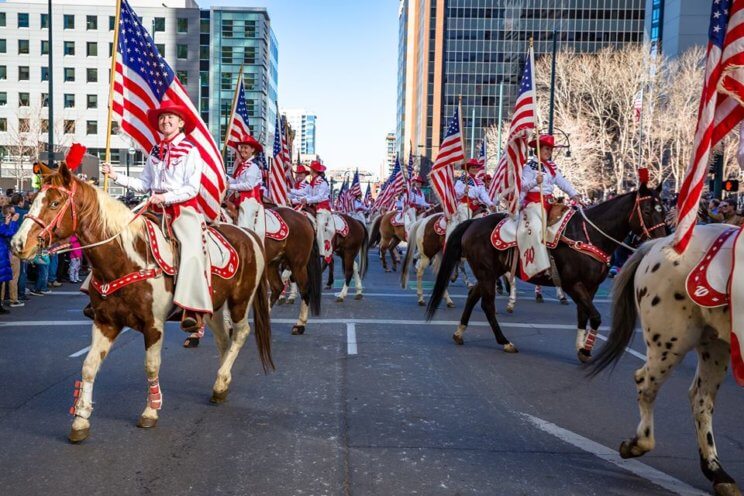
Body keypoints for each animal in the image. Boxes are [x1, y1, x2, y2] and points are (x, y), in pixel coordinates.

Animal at [10, 162, 274, 442]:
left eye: (55, 203)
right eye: (34, 200)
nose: (17, 244)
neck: (126, 259)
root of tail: (248, 233)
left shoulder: (153, 325)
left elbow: (151, 366)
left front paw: (150, 411)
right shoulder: (105, 322)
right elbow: (89, 366)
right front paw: (80, 420)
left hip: (239, 301)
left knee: (241, 333)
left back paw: (222, 376)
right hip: (210, 306)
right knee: (224, 339)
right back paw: (221, 384)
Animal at [424, 183, 668, 360]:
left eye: (664, 210)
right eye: (647, 210)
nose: (663, 242)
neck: (588, 235)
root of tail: (473, 223)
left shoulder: (590, 286)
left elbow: (584, 315)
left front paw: (581, 348)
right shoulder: (573, 284)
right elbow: (596, 317)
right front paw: (586, 349)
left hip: (489, 273)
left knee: (474, 295)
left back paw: (459, 332)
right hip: (486, 272)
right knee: (487, 305)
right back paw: (504, 341)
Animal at [588, 225, 740, 496]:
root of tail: (660, 242)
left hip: (716, 344)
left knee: (701, 399)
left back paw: (716, 472)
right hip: (671, 342)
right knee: (647, 384)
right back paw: (638, 443)